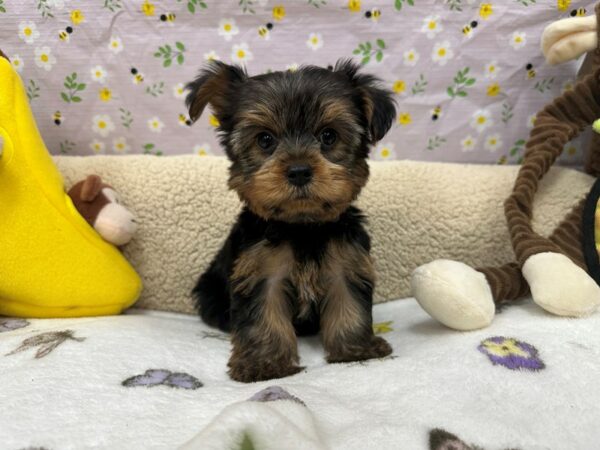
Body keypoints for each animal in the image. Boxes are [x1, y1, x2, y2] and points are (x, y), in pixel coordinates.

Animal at [185, 59, 396, 384]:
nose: (298, 171)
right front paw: (264, 364)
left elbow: (349, 304)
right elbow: (264, 316)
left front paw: (356, 349)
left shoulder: (346, 260)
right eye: (265, 140)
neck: (302, 226)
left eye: (328, 136)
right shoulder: (261, 271)